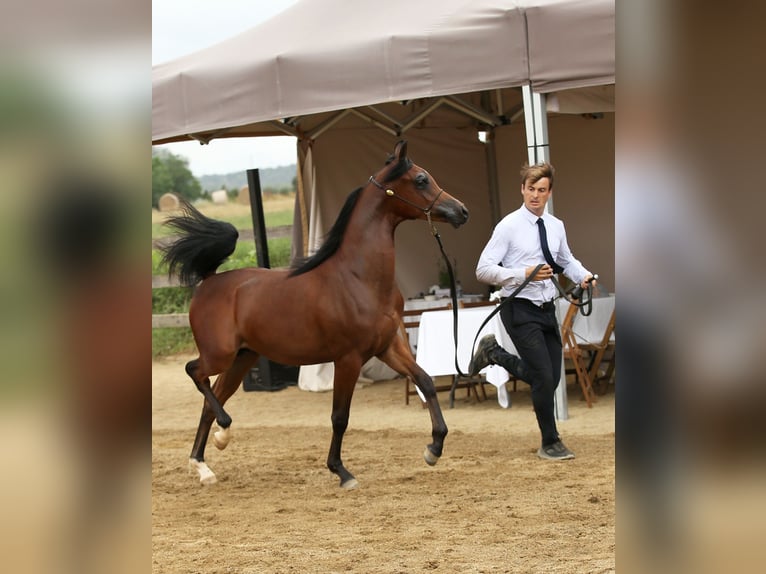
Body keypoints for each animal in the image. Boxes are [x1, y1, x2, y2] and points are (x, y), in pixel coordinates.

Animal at [162, 142, 468, 488]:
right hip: (219, 355)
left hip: (242, 359)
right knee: (194, 373)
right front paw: (341, 471)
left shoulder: (389, 347)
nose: (461, 211)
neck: (359, 278)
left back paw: (205, 463)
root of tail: (209, 281)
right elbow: (340, 417)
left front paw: (434, 449)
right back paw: (221, 434)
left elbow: (426, 382)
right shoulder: (348, 359)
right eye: (420, 179)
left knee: (210, 400)